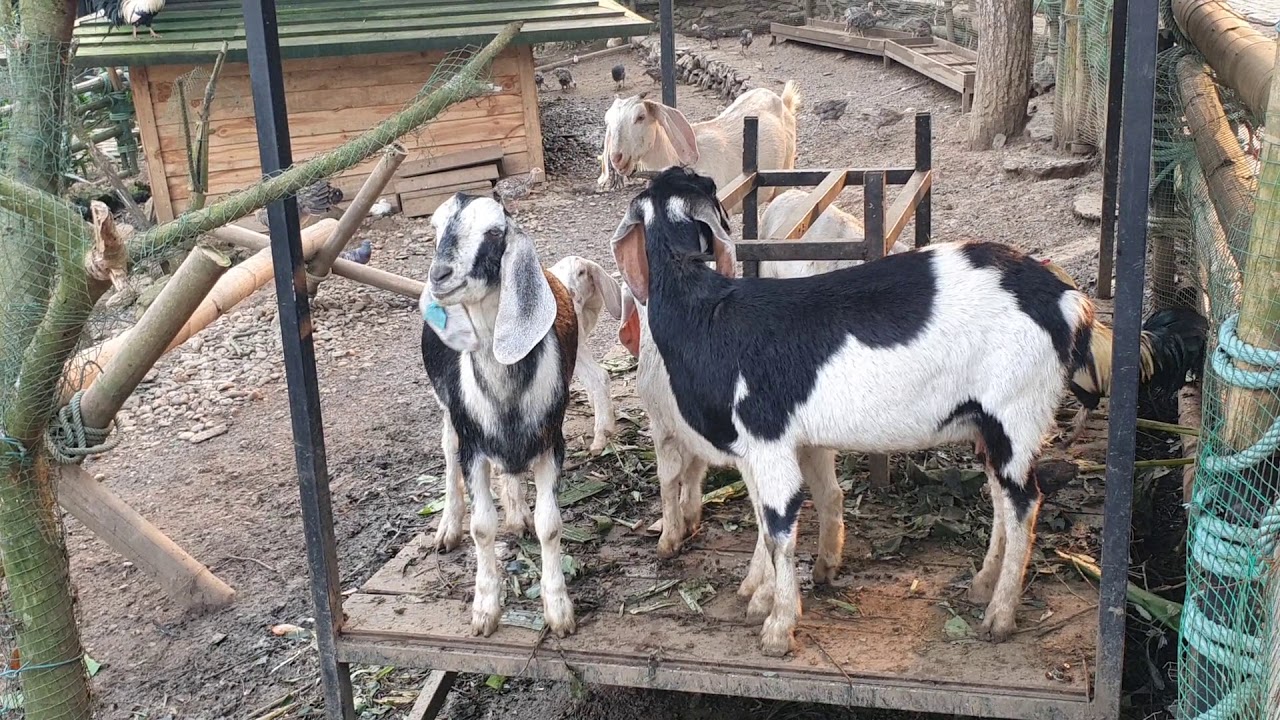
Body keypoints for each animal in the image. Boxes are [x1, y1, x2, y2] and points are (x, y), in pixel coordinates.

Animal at [419, 194, 578, 639]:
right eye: (435, 228)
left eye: (493, 232)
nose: (440, 275)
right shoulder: (473, 446)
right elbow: (482, 527)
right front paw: (485, 609)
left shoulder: (551, 441)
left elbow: (550, 524)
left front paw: (558, 610)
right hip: (447, 412)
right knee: (446, 450)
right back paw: (448, 527)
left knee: (510, 472)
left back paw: (517, 511)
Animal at [610, 167, 1094, 656]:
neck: (705, 313)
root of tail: (1066, 302)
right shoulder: (773, 446)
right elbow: (772, 522)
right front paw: (771, 594)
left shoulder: (767, 439)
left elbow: (779, 529)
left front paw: (778, 627)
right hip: (989, 425)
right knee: (1001, 496)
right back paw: (983, 585)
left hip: (1015, 411)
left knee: (1025, 503)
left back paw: (1000, 614)